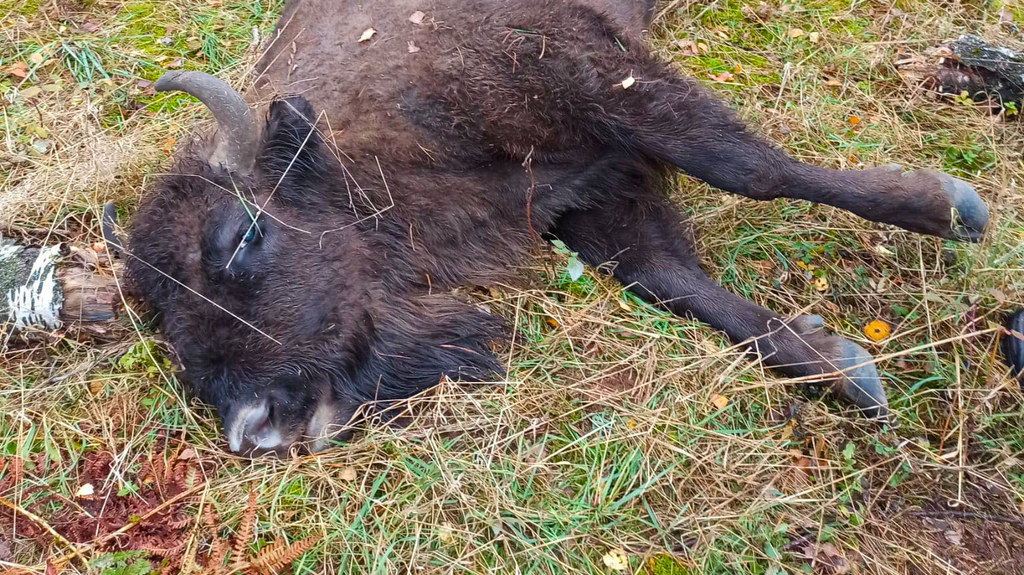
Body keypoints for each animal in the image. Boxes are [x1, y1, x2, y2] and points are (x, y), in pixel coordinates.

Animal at [121, 0, 991, 454]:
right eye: (161, 313)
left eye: (243, 235)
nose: (255, 427)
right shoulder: (587, 200)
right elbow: (673, 280)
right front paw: (840, 366)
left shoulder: (607, 84)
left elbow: (752, 169)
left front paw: (951, 206)